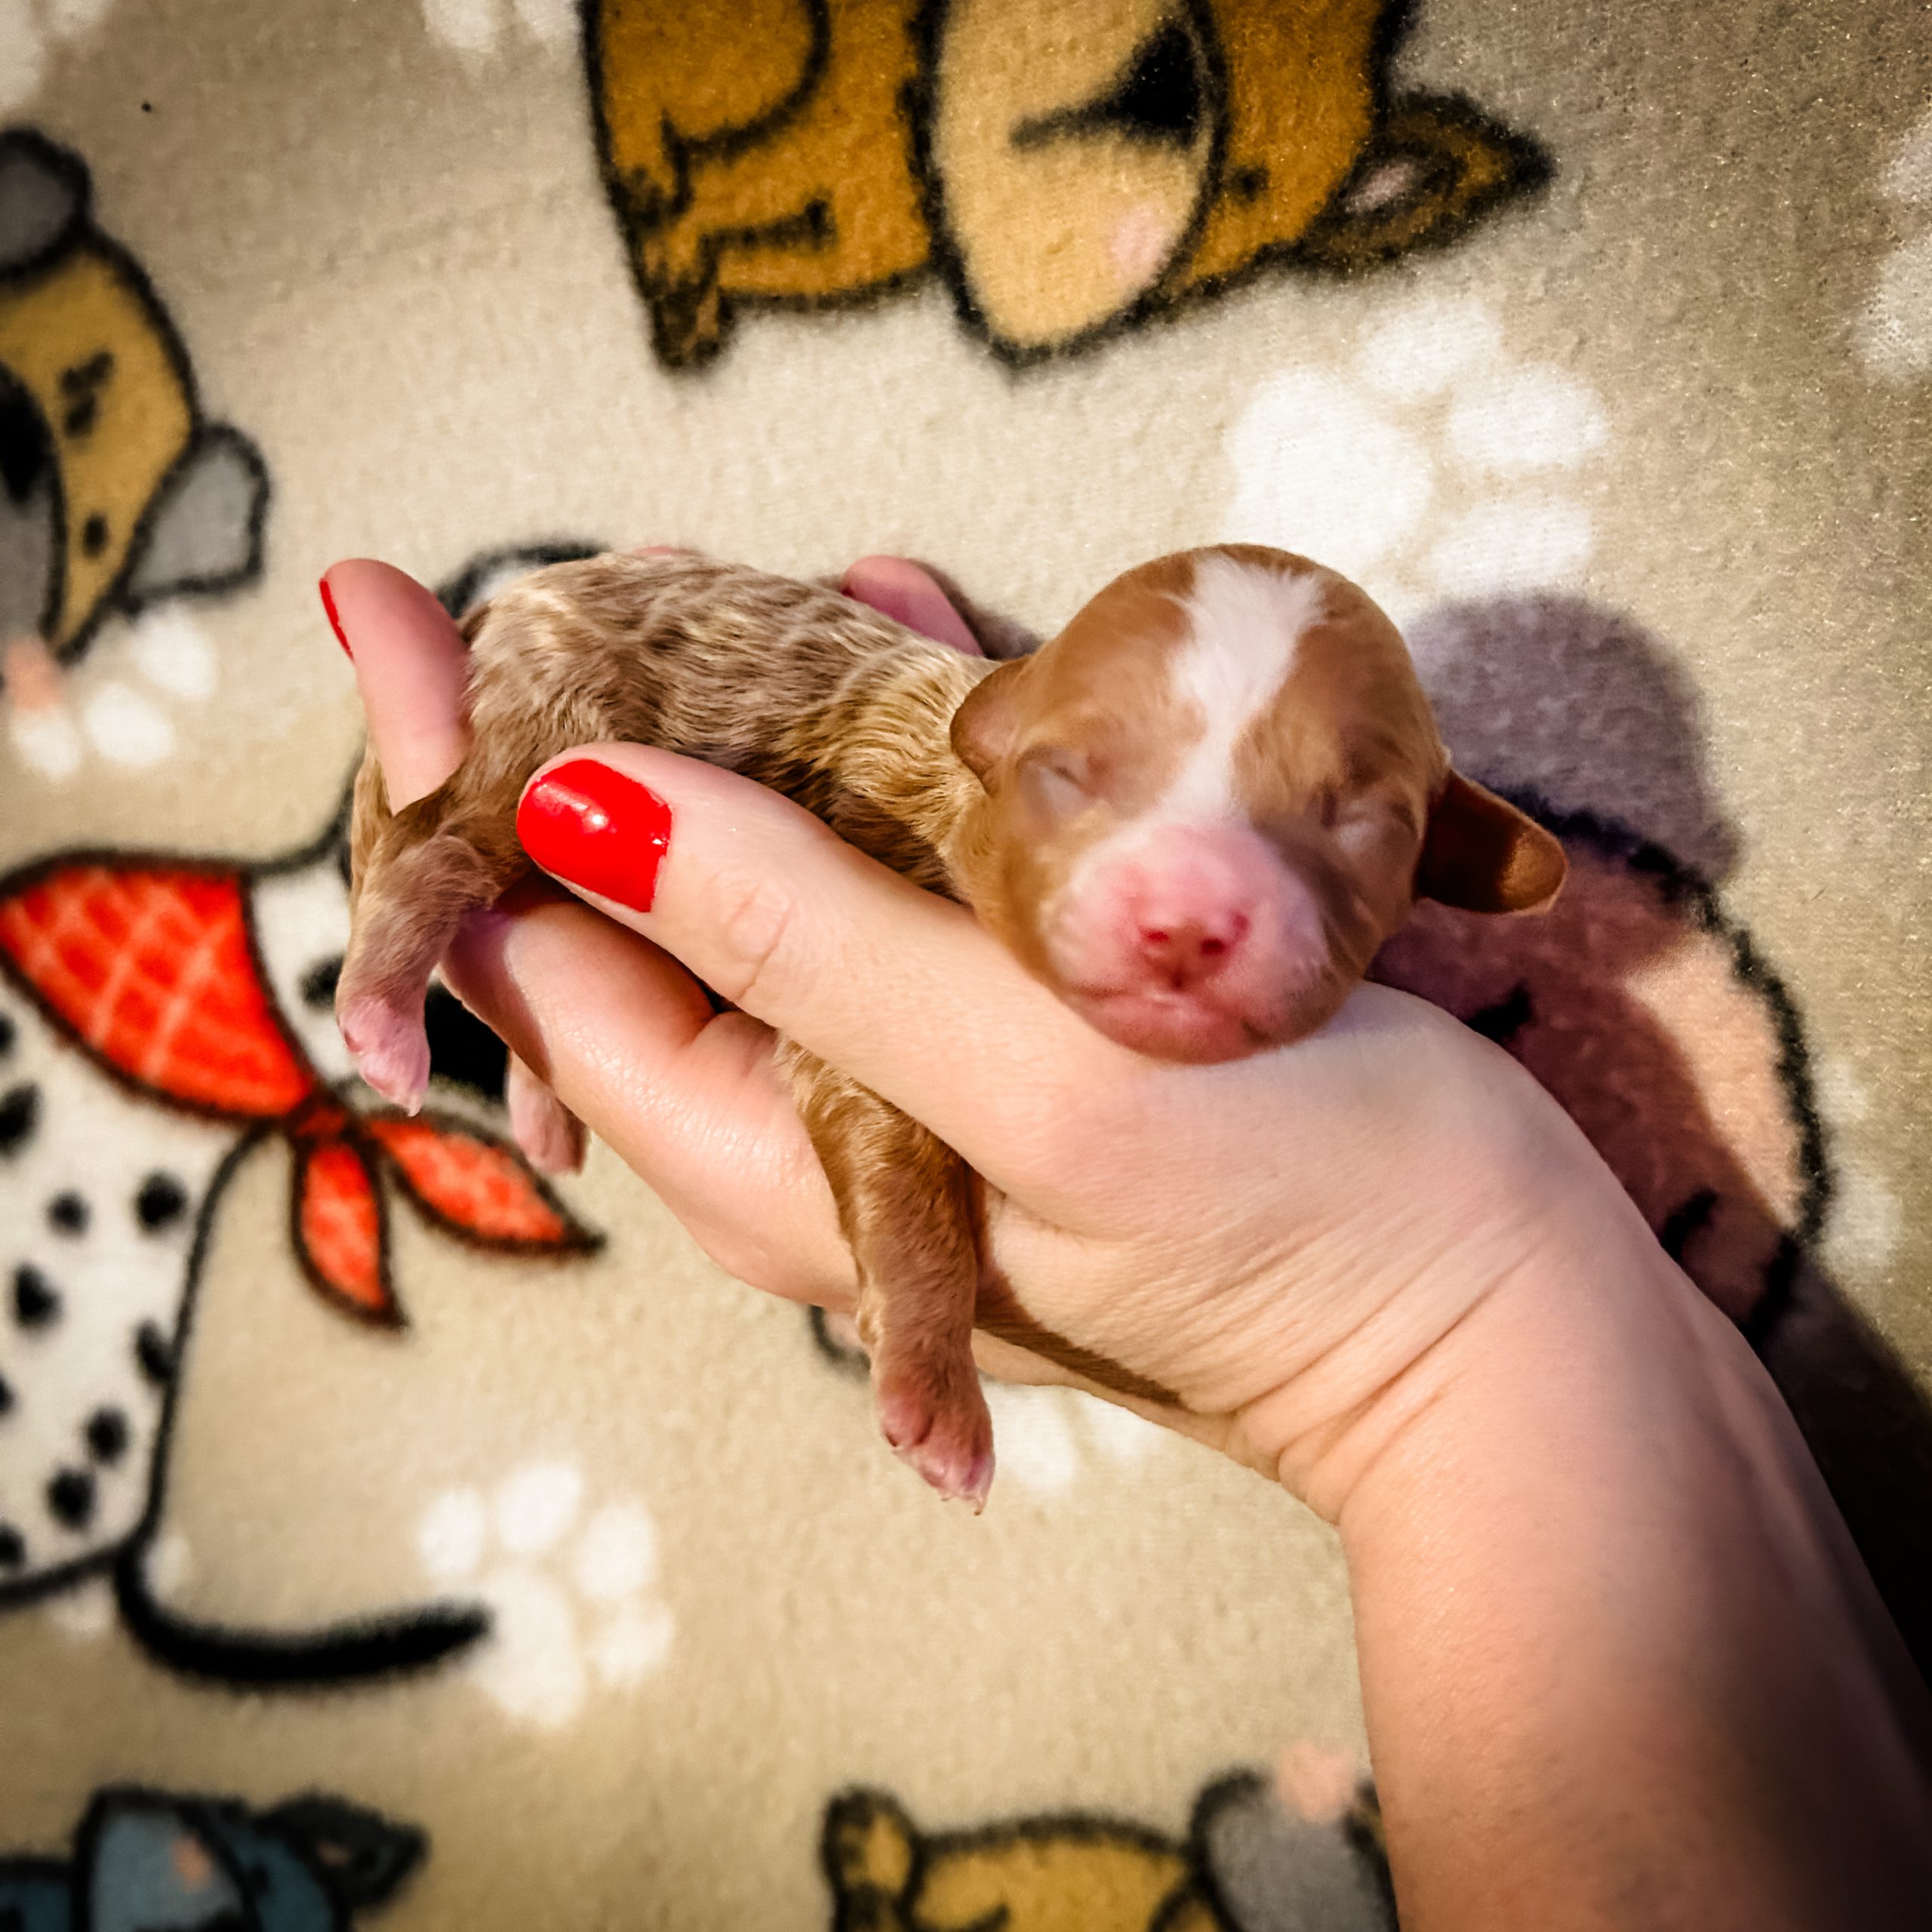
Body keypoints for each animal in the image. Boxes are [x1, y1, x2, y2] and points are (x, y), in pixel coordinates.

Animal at [340, 544, 1561, 1506]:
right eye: (1065, 774)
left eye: (1363, 820)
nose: (1187, 918)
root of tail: (522, 593)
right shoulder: (863, 990)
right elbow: (908, 1191)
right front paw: (938, 1398)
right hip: (551, 740)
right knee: (433, 856)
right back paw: (382, 1015)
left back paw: (541, 1112)